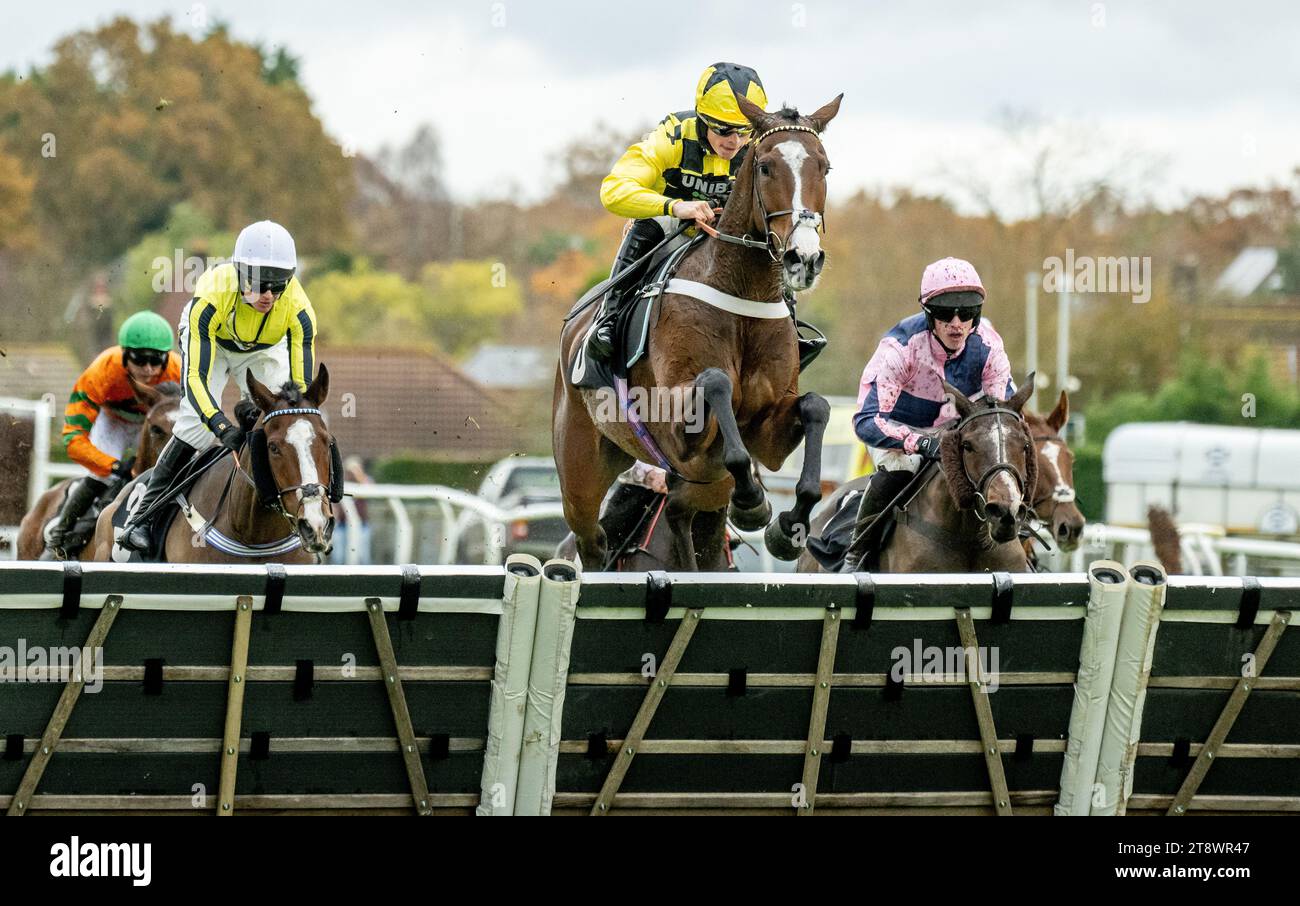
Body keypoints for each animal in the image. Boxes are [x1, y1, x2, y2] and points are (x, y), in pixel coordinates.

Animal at [551, 93, 842, 571]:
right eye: (765, 166)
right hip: (580, 471)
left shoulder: (768, 432)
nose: (804, 258)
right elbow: (717, 381)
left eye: (824, 166)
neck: (741, 291)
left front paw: (785, 525)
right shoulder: (674, 428)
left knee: (683, 517)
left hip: (702, 487)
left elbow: (815, 406)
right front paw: (754, 504)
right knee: (592, 539)